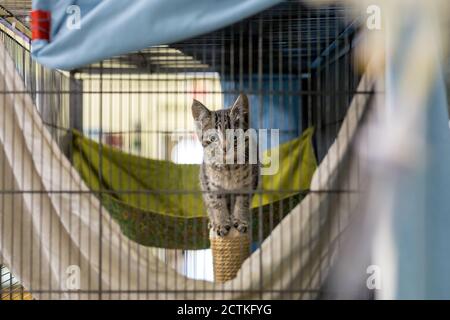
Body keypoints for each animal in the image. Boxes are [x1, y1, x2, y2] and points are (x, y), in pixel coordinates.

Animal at [192, 94, 258, 236]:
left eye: (234, 136)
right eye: (213, 138)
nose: (224, 148)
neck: (228, 167)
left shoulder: (249, 181)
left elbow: (243, 201)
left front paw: (241, 220)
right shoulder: (209, 182)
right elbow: (216, 203)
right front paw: (221, 223)